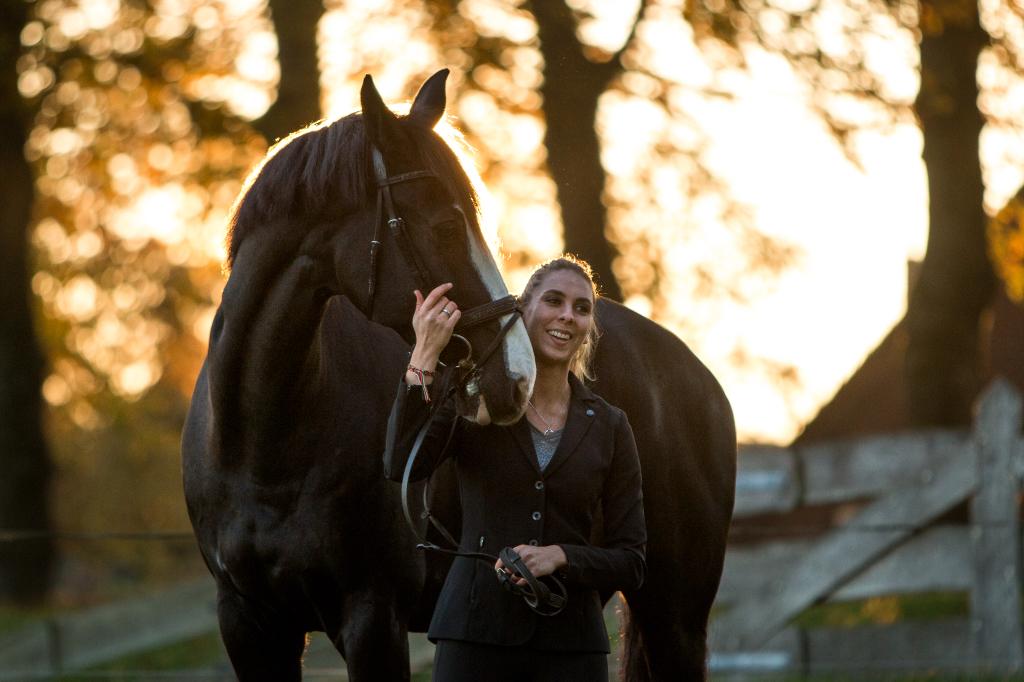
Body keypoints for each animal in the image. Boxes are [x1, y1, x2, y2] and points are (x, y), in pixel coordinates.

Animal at [182, 69, 736, 681]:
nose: (518, 376)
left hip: (675, 616)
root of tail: (697, 376)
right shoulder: (249, 625)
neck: (268, 443)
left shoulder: (373, 618)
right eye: (447, 224)